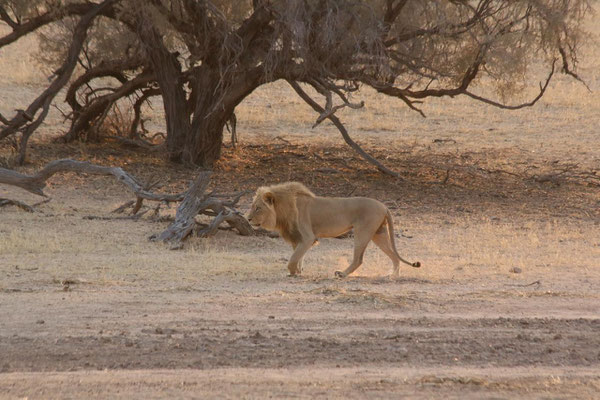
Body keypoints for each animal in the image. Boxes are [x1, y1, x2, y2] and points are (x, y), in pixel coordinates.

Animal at [246, 182, 420, 278]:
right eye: (252, 206)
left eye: (258, 208)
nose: (247, 219)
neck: (282, 210)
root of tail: (384, 206)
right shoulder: (298, 238)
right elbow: (298, 257)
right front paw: (297, 272)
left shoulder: (308, 237)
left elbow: (293, 259)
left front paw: (293, 272)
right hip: (379, 233)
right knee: (394, 256)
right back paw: (393, 276)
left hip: (362, 232)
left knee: (359, 259)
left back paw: (342, 274)